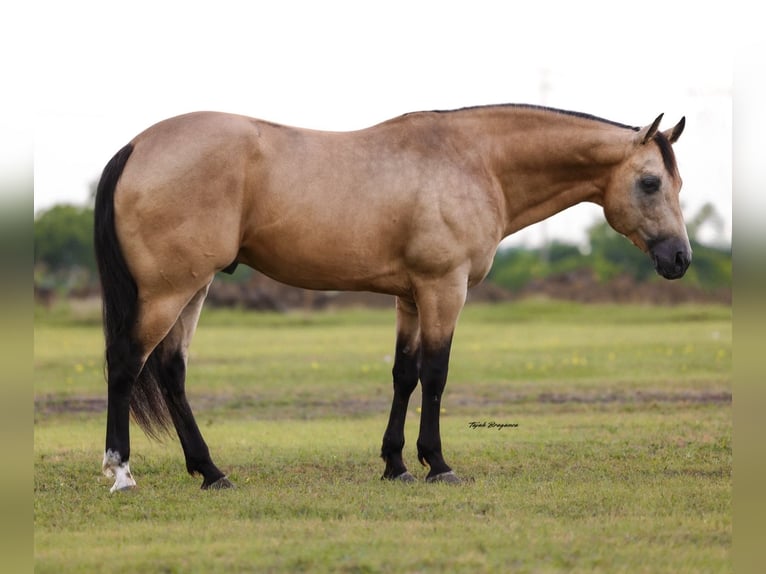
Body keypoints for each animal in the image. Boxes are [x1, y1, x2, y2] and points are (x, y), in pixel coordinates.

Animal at [94, 104, 689, 492]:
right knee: (126, 363)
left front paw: (396, 465)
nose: (680, 259)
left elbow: (404, 375)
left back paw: (211, 473)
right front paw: (438, 464)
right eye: (651, 183)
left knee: (171, 371)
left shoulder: (410, 297)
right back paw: (121, 472)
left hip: (194, 287)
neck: (474, 160)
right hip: (170, 289)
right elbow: (436, 374)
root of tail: (137, 146)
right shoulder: (444, 288)